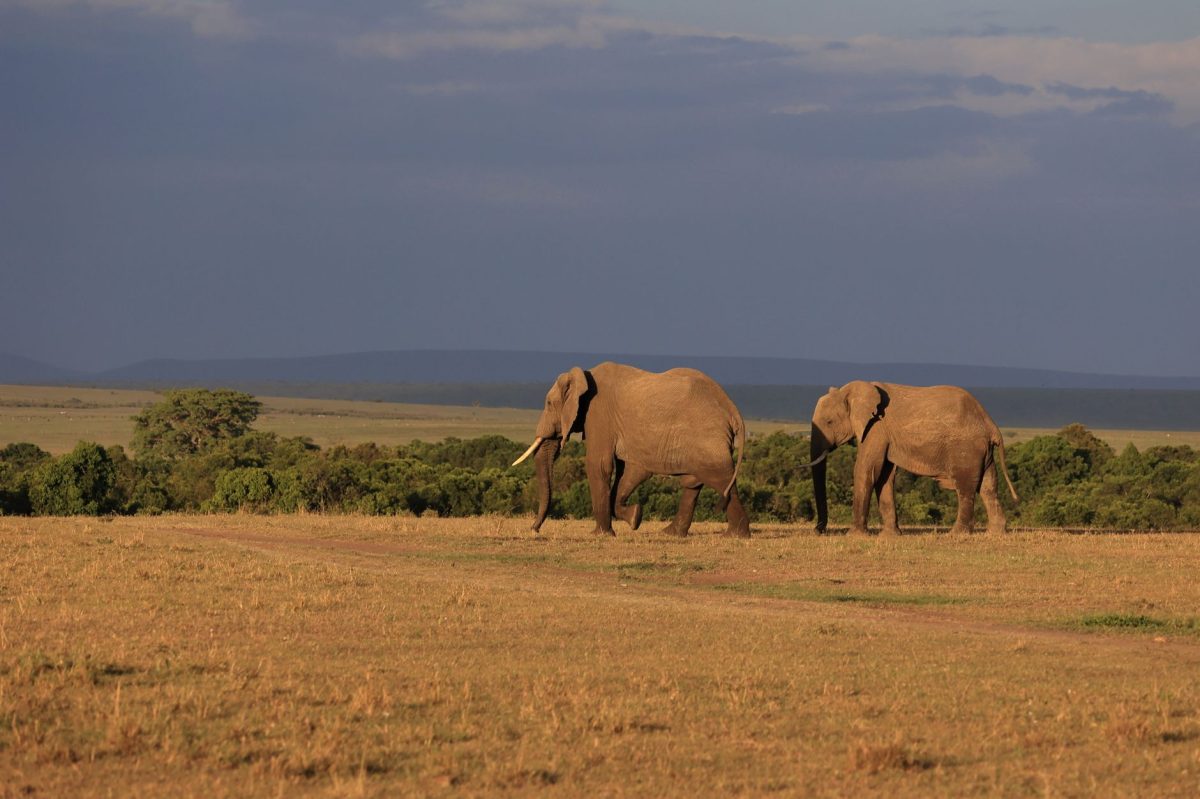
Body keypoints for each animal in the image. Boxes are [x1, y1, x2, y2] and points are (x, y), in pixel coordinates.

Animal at [511, 362, 750, 537]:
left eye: (549, 404)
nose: (534, 529)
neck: (583, 376)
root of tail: (732, 409)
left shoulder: (599, 414)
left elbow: (599, 465)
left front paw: (601, 534)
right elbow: (629, 471)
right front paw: (635, 517)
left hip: (707, 436)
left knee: (719, 478)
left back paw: (736, 536)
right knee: (693, 482)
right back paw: (670, 534)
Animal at [809, 381, 1018, 535]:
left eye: (829, 422)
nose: (819, 530)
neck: (850, 391)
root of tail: (991, 424)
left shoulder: (876, 428)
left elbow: (866, 470)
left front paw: (855, 536)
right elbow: (884, 476)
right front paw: (890, 536)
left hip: (966, 448)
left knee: (966, 488)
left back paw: (956, 534)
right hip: (982, 451)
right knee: (989, 486)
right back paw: (995, 533)